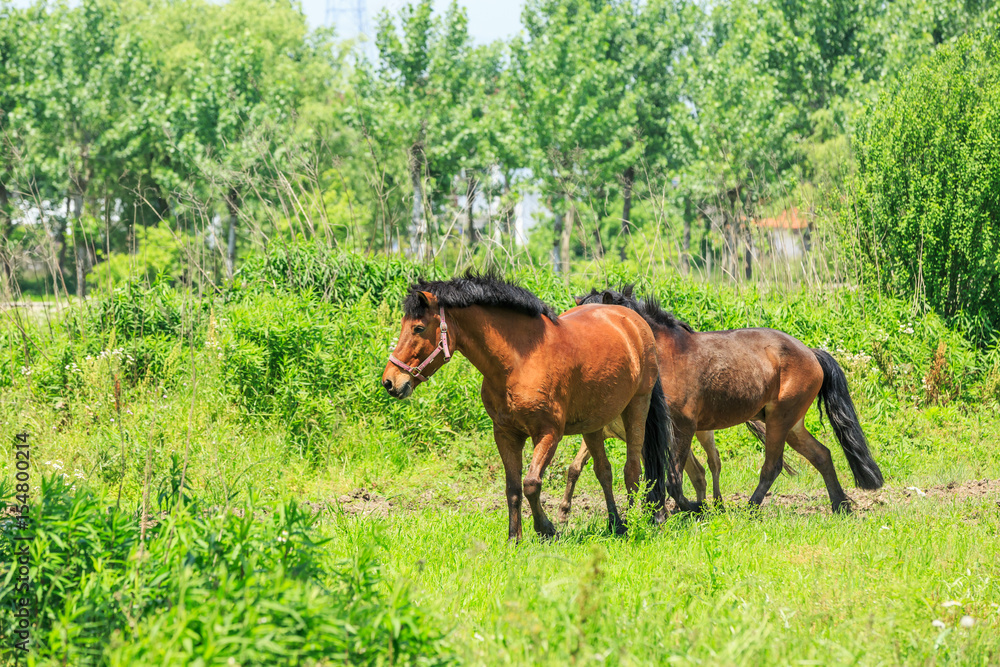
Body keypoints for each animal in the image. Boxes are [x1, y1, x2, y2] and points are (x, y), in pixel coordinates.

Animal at [378, 274, 676, 540]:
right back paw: (616, 524)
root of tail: (632, 320)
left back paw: (636, 522)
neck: (519, 362)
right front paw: (514, 538)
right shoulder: (506, 434)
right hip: (594, 422)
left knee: (632, 469)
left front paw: (547, 530)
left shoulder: (548, 434)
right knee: (604, 471)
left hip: (637, 406)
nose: (390, 382)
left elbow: (531, 484)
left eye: (418, 328)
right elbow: (513, 488)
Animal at [572, 284, 884, 516]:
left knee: (773, 467)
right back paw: (840, 506)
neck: (662, 355)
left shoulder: (683, 427)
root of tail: (810, 353)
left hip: (780, 420)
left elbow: (675, 477)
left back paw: (750, 510)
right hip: (792, 424)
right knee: (822, 455)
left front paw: (694, 508)